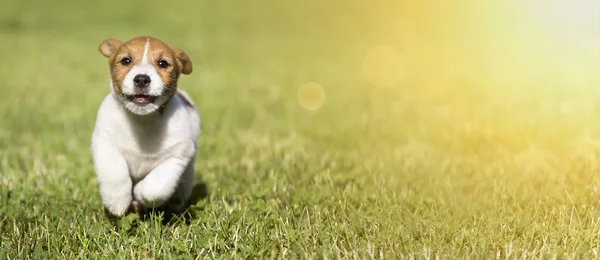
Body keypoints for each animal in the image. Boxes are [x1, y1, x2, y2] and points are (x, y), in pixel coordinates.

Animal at [91, 35, 199, 216]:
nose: (142, 79)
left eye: (162, 63)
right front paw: (117, 202)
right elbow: (115, 173)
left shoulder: (177, 156)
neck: (143, 121)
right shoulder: (105, 143)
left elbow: (156, 188)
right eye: (126, 60)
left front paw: (140, 194)